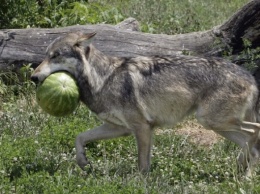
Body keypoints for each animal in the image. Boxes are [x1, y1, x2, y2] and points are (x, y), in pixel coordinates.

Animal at [31, 31, 260, 177]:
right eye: (45, 56)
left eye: (55, 56)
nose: (33, 77)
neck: (103, 78)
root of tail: (250, 77)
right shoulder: (119, 128)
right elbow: (80, 137)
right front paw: (82, 162)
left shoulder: (142, 128)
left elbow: (142, 165)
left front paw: (140, 184)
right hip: (218, 126)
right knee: (251, 147)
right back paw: (242, 170)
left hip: (212, 121)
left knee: (254, 132)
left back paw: (246, 176)